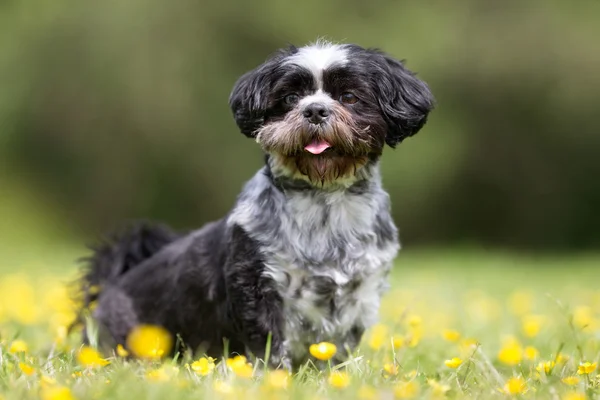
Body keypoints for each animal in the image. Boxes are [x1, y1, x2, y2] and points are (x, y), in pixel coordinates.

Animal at [81, 40, 436, 368]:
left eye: (348, 96)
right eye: (290, 98)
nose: (314, 110)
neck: (324, 203)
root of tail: (108, 289)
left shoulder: (360, 294)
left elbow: (337, 349)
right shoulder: (256, 284)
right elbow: (269, 344)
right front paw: (276, 378)